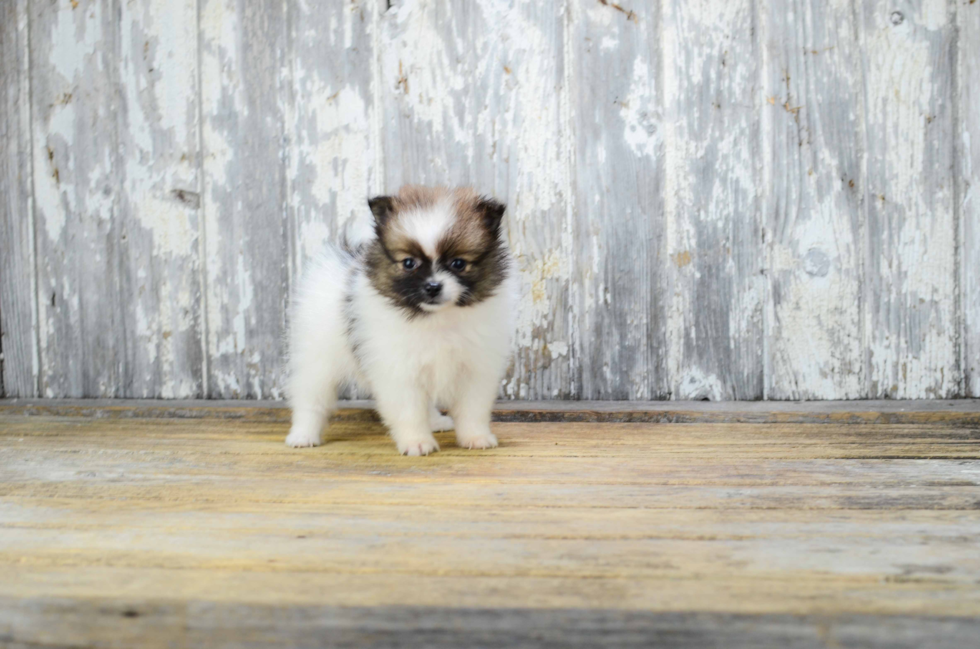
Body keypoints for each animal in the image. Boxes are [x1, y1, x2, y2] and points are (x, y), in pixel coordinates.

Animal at [284, 185, 512, 454]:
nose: (433, 286)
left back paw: (436, 422)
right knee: (311, 398)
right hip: (318, 358)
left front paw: (476, 438)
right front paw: (417, 443)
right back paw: (303, 435)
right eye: (409, 263)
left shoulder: (475, 368)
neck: (435, 318)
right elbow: (409, 411)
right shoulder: (399, 370)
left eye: (458, 263)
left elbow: (472, 410)